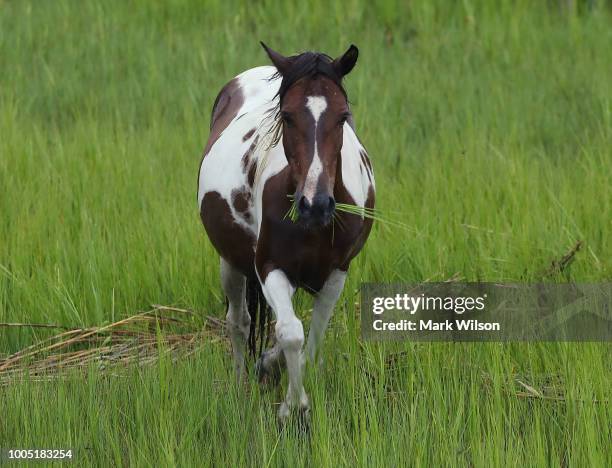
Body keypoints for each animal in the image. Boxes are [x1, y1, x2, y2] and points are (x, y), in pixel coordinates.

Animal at [198, 44, 376, 422]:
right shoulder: (269, 267)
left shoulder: (336, 272)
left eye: (343, 116)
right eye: (288, 115)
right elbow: (291, 332)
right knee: (239, 322)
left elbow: (312, 335)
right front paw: (293, 407)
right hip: (230, 263)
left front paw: (275, 372)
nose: (315, 204)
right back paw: (241, 384)